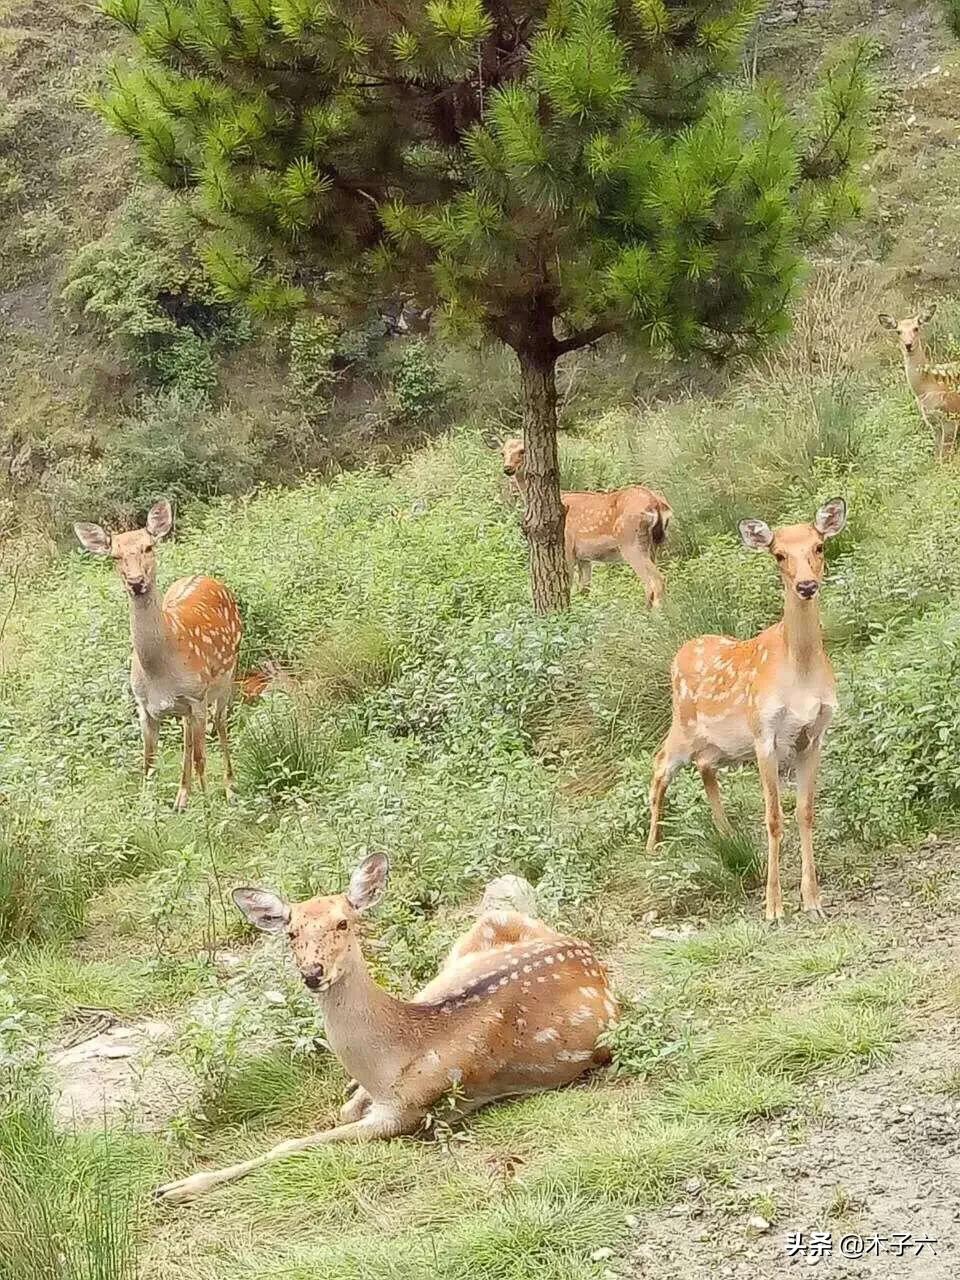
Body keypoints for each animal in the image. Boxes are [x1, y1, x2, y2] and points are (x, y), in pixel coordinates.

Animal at [75, 499, 244, 808]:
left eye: (148, 547)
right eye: (115, 556)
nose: (135, 581)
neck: (160, 670)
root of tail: (206, 577)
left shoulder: (197, 697)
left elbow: (201, 759)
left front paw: (208, 808)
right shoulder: (145, 707)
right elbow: (148, 764)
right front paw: (148, 808)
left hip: (226, 675)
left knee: (220, 723)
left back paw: (229, 788)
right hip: (188, 705)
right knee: (188, 735)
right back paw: (182, 797)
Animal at [150, 855, 616, 1203]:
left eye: (343, 922)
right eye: (291, 932)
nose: (313, 973)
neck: (390, 1060)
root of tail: (588, 953)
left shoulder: (406, 1114)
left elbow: (291, 1144)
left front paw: (177, 1187)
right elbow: (340, 1112)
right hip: (475, 937)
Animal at [499, 437, 670, 606]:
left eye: (522, 450)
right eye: (502, 453)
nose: (507, 468)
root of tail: (656, 503)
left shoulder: (567, 546)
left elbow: (568, 585)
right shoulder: (584, 557)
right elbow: (584, 590)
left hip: (630, 541)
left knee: (656, 581)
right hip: (652, 544)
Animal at [647, 494, 849, 926]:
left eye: (819, 547)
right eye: (778, 554)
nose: (807, 585)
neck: (800, 673)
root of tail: (681, 650)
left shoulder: (814, 735)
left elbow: (805, 812)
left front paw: (813, 901)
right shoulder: (765, 734)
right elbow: (773, 818)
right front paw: (773, 908)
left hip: (719, 745)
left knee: (704, 767)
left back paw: (726, 834)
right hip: (682, 725)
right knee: (658, 766)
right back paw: (652, 848)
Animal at [880, 304, 960, 460]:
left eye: (916, 328)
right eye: (898, 331)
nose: (908, 345)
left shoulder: (951, 419)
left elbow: (945, 457)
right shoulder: (933, 423)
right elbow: (937, 455)